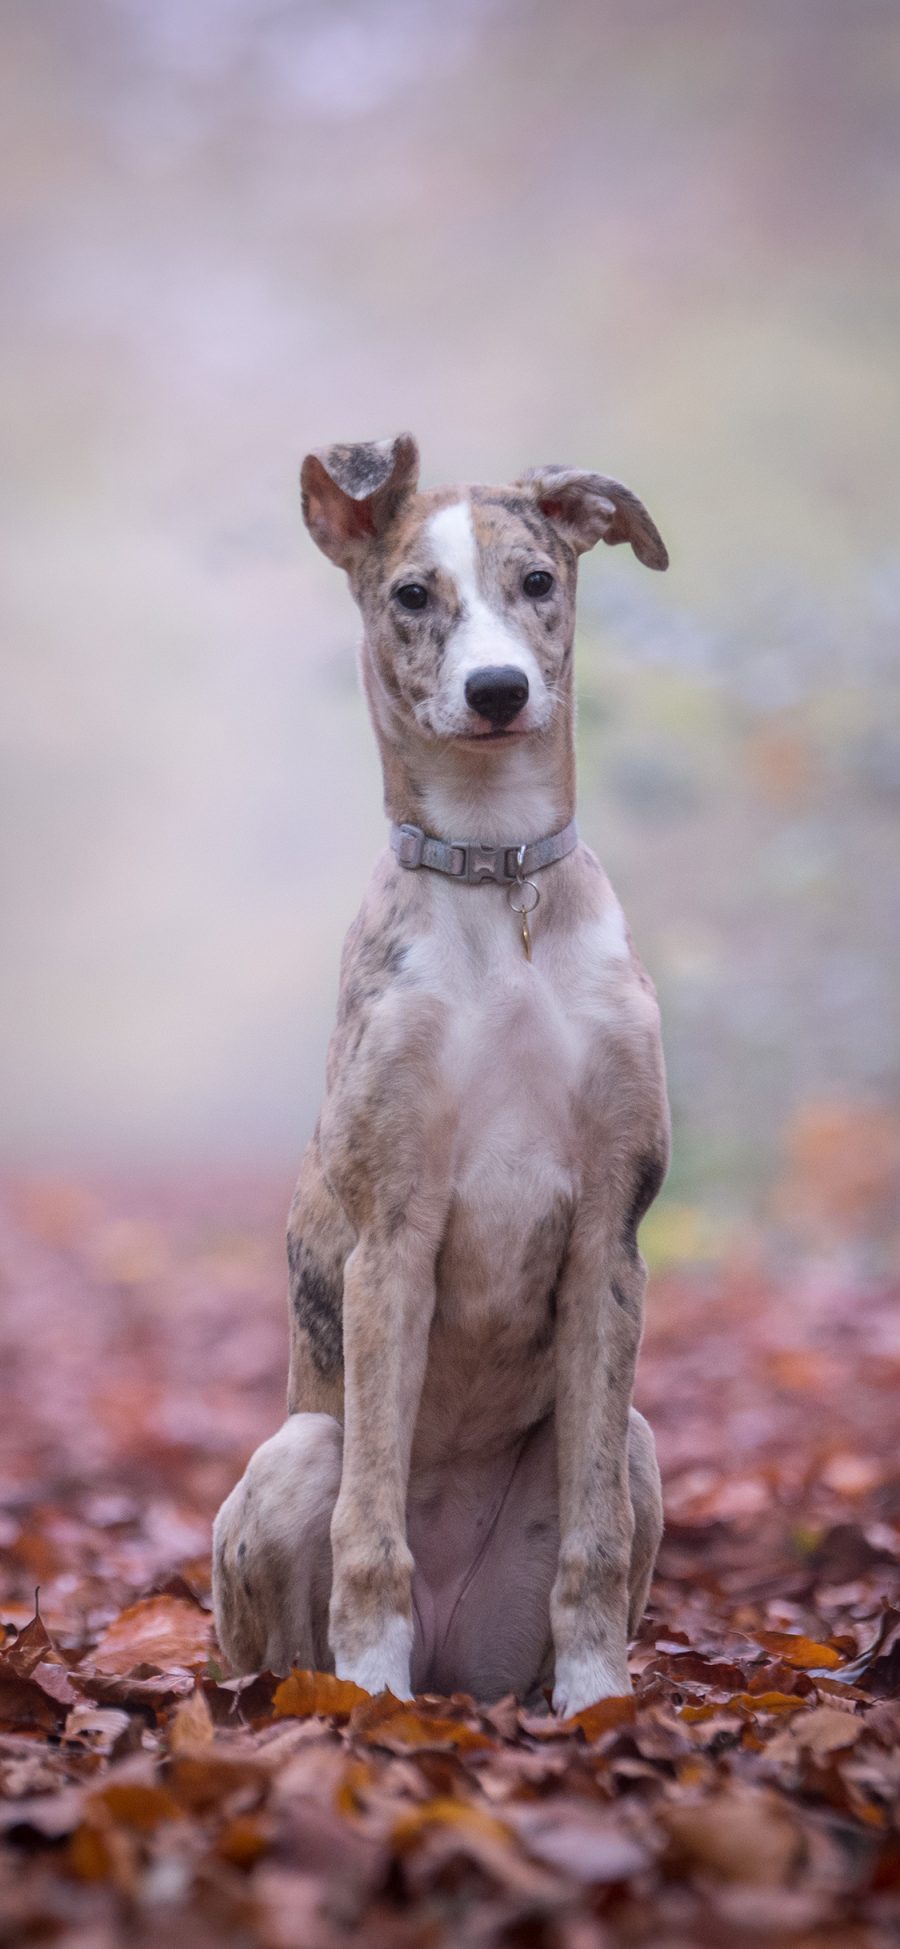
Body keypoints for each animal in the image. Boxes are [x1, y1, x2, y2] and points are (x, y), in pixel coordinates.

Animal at [212, 434, 666, 1715]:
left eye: (539, 580)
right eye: (412, 594)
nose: (499, 691)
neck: (495, 873)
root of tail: (463, 1671)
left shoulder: (610, 1231)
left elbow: (593, 1540)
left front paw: (601, 1703)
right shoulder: (392, 1234)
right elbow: (373, 1529)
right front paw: (371, 1697)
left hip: (640, 1441)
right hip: (294, 1454)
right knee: (302, 1612)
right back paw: (349, 1696)